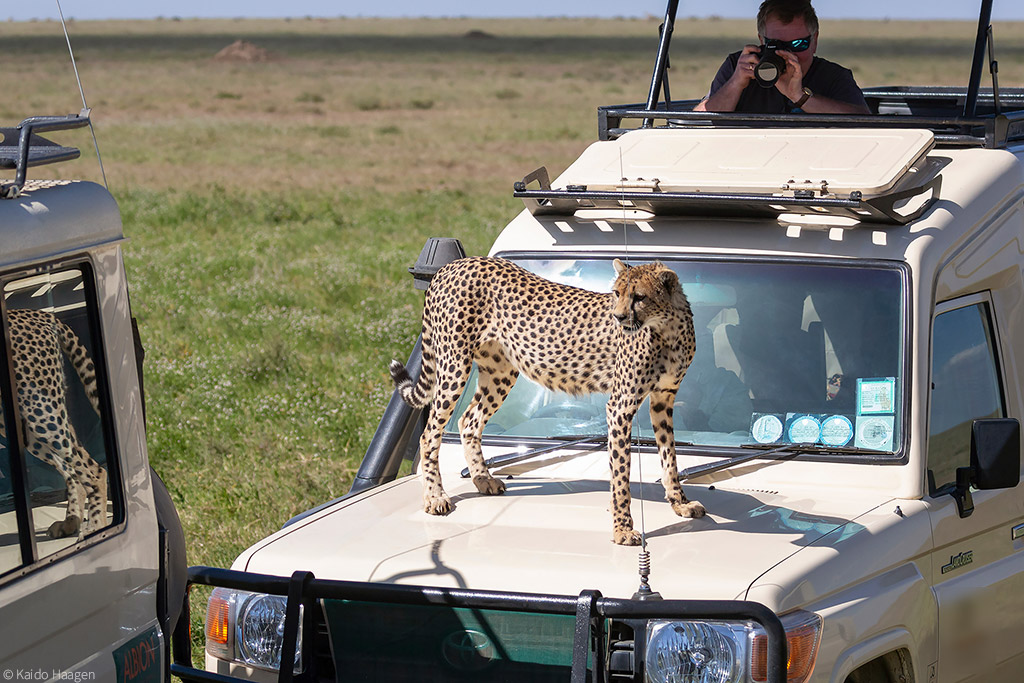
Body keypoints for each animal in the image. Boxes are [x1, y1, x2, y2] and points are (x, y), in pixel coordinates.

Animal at [0, 309, 105, 540]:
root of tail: (41, 314)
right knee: (73, 471)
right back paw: (71, 523)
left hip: (40, 414)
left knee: (95, 470)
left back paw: (97, 527)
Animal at [387, 255, 708, 544]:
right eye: (617, 293)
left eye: (639, 297)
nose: (617, 317)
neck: (668, 329)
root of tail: (454, 265)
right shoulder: (620, 406)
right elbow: (621, 476)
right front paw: (622, 530)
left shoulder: (663, 399)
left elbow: (669, 457)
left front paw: (680, 502)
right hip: (454, 365)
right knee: (430, 433)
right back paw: (435, 496)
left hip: (501, 371)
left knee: (469, 419)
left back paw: (482, 479)